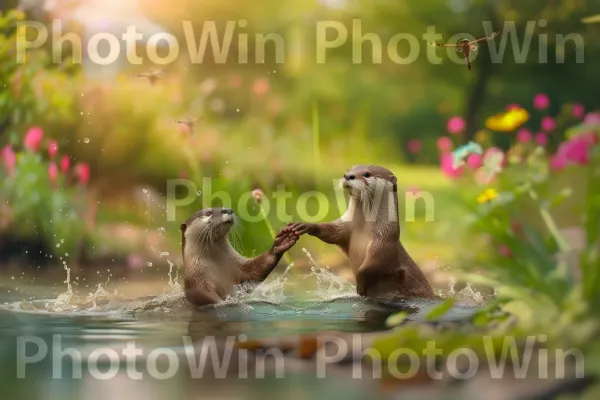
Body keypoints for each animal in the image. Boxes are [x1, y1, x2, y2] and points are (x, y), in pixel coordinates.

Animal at [288, 165, 434, 300]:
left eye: (367, 174)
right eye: (349, 170)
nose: (348, 176)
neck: (364, 229)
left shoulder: (384, 240)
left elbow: (373, 264)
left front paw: (360, 284)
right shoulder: (346, 227)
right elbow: (332, 232)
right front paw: (306, 225)